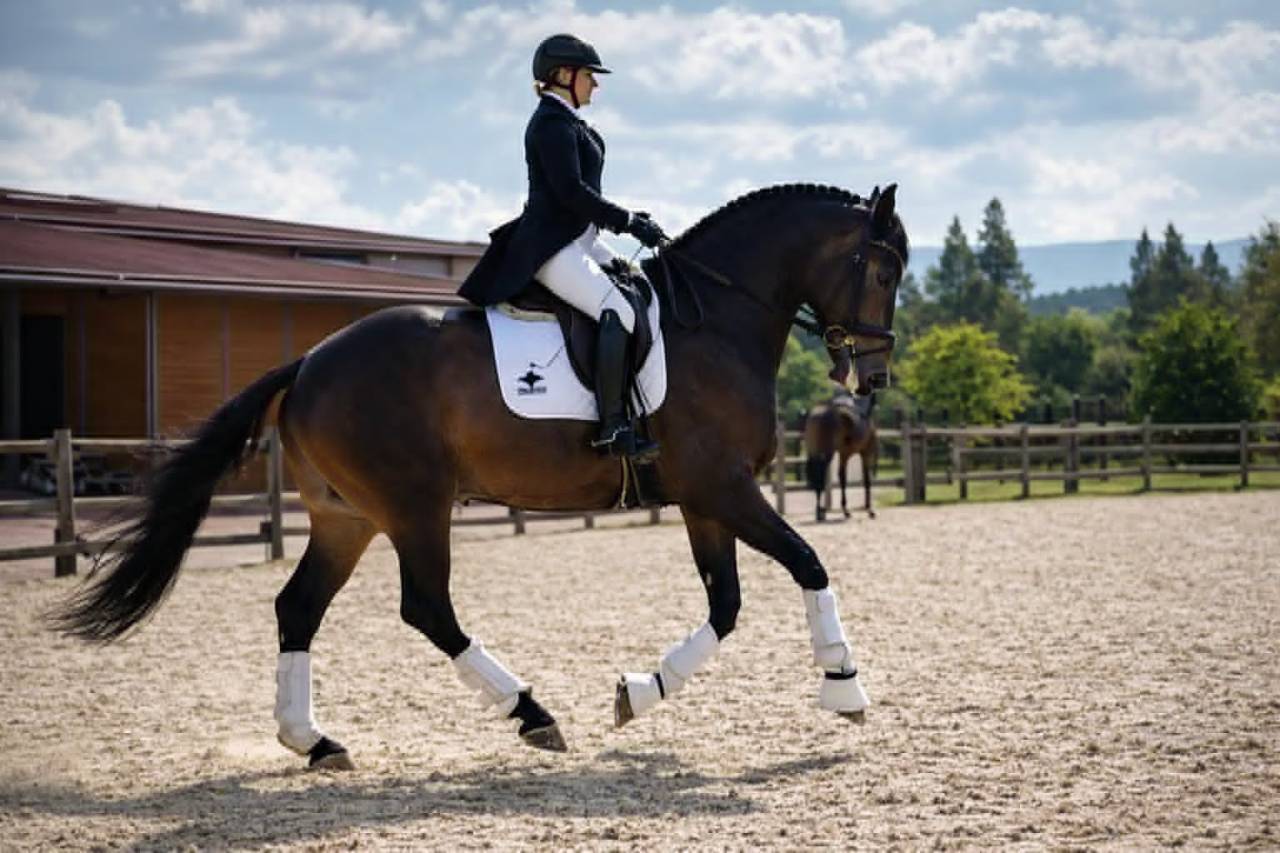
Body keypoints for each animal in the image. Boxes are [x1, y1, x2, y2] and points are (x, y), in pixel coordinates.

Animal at [803, 393, 880, 522]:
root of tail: (817, 416)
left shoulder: (844, 454)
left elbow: (842, 478)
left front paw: (845, 510)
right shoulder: (865, 453)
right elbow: (867, 480)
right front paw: (869, 510)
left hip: (814, 452)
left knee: (816, 474)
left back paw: (820, 511)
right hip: (827, 453)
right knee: (820, 474)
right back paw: (820, 512)